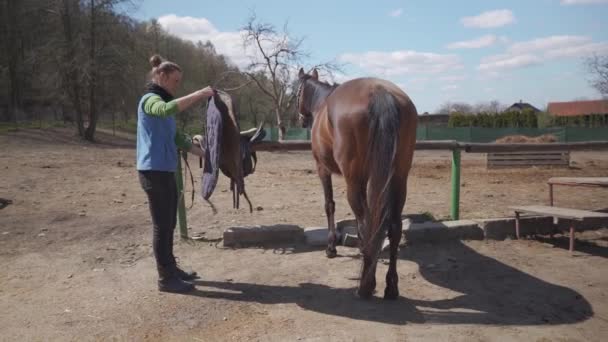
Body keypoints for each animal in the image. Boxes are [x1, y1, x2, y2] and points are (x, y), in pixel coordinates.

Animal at [296, 68, 418, 298]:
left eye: (296, 91)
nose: (301, 119)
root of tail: (380, 92)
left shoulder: (322, 169)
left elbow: (329, 205)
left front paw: (331, 248)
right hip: (399, 179)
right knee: (393, 227)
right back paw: (390, 286)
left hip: (354, 181)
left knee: (366, 222)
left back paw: (365, 285)